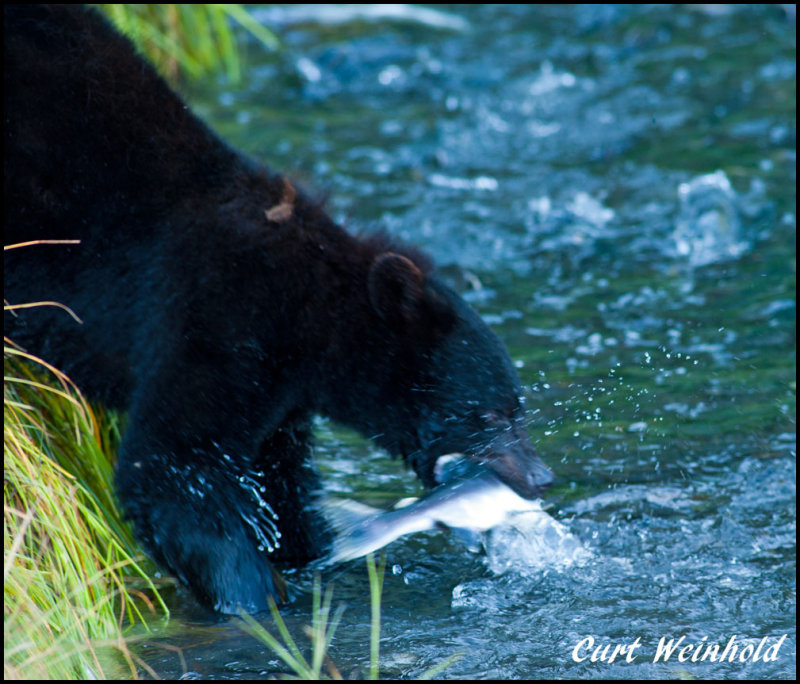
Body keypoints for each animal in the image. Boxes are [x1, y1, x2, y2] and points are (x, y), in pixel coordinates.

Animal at [4, 4, 556, 616]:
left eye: (518, 406)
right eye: (490, 415)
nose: (542, 477)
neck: (308, 316)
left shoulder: (275, 392)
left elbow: (276, 474)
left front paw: (304, 550)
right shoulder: (209, 319)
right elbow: (171, 465)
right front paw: (253, 592)